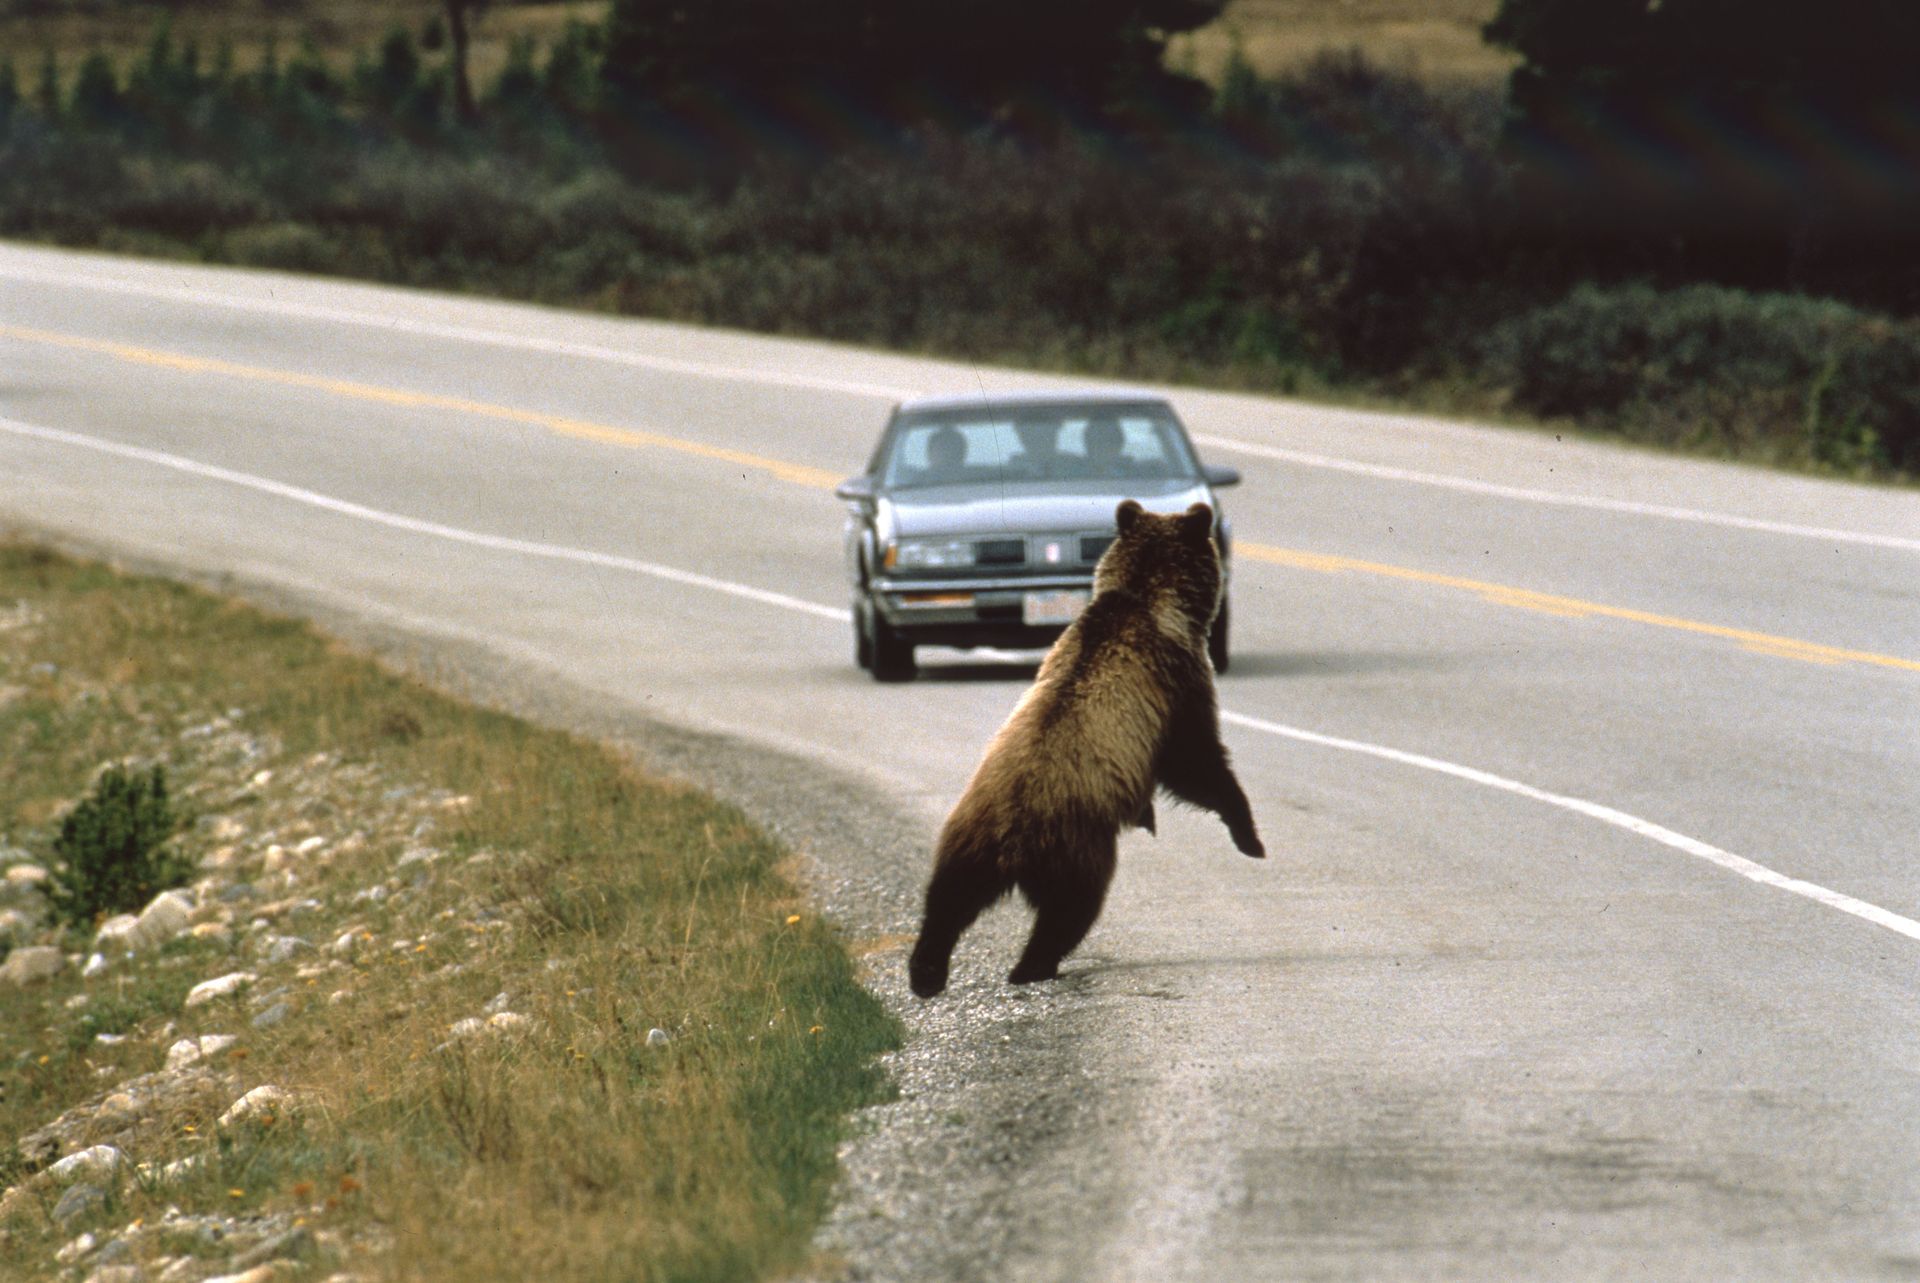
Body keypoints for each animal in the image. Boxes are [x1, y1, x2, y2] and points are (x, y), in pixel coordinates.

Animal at [907, 499, 1264, 998]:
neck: (1148, 600)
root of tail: (1011, 840)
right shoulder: (1178, 682)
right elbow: (1195, 761)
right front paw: (1249, 836)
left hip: (969, 832)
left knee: (948, 897)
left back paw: (926, 970)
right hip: (1077, 843)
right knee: (1071, 908)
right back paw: (1033, 964)